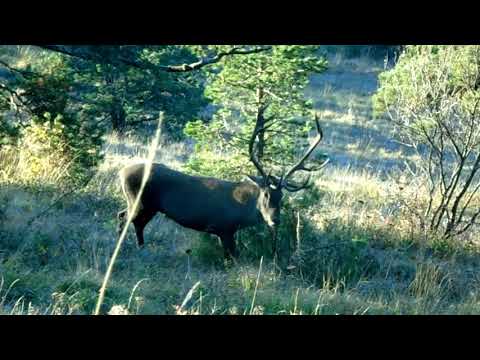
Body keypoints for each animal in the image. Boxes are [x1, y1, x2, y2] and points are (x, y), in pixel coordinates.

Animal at [117, 114, 326, 258]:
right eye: (265, 195)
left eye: (281, 197)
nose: (275, 220)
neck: (243, 211)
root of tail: (122, 172)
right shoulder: (224, 227)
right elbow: (232, 258)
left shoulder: (223, 231)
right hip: (140, 202)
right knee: (126, 219)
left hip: (148, 206)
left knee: (131, 220)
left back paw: (140, 248)